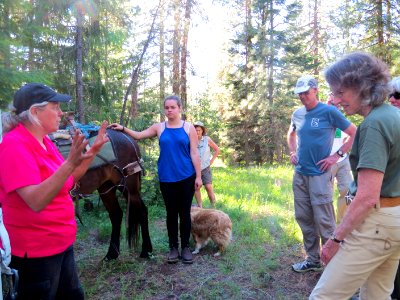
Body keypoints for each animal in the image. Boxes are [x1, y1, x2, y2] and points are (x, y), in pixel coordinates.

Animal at [73, 129, 152, 260]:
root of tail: (128, 138)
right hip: (106, 187)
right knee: (116, 214)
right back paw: (111, 254)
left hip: (128, 187)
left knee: (141, 211)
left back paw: (146, 251)